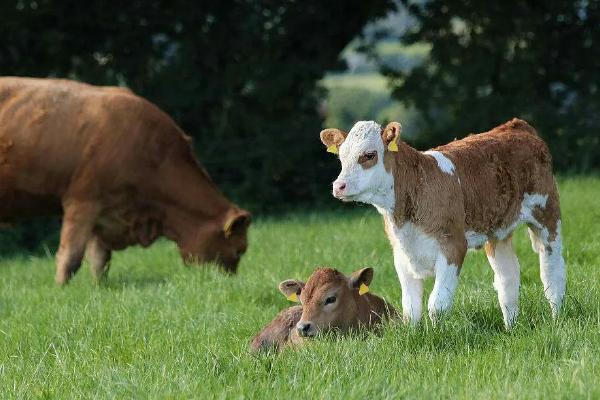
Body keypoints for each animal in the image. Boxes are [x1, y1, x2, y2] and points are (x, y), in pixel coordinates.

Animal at [0, 77, 251, 284]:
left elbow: (100, 260)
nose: (231, 282)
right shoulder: (81, 201)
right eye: (239, 250)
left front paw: (99, 288)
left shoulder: (104, 213)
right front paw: (61, 289)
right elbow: (71, 257)